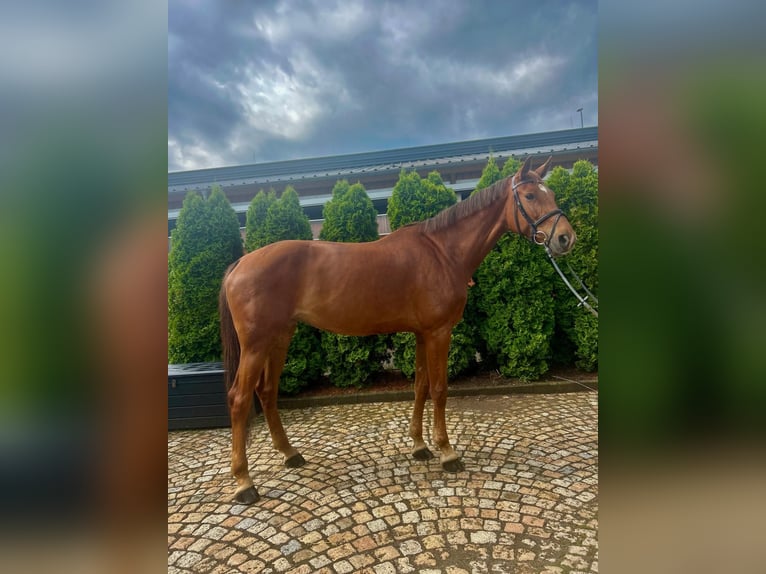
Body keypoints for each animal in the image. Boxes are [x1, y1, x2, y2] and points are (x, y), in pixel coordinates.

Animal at [218, 156, 575, 504]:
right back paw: (244, 483)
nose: (565, 238)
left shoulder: (422, 333)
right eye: (530, 196)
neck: (443, 252)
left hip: (280, 336)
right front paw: (447, 452)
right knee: (239, 398)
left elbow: (420, 386)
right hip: (256, 343)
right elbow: (440, 390)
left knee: (267, 391)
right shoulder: (439, 332)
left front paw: (419, 446)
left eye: (552, 194)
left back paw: (290, 454)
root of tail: (241, 263)